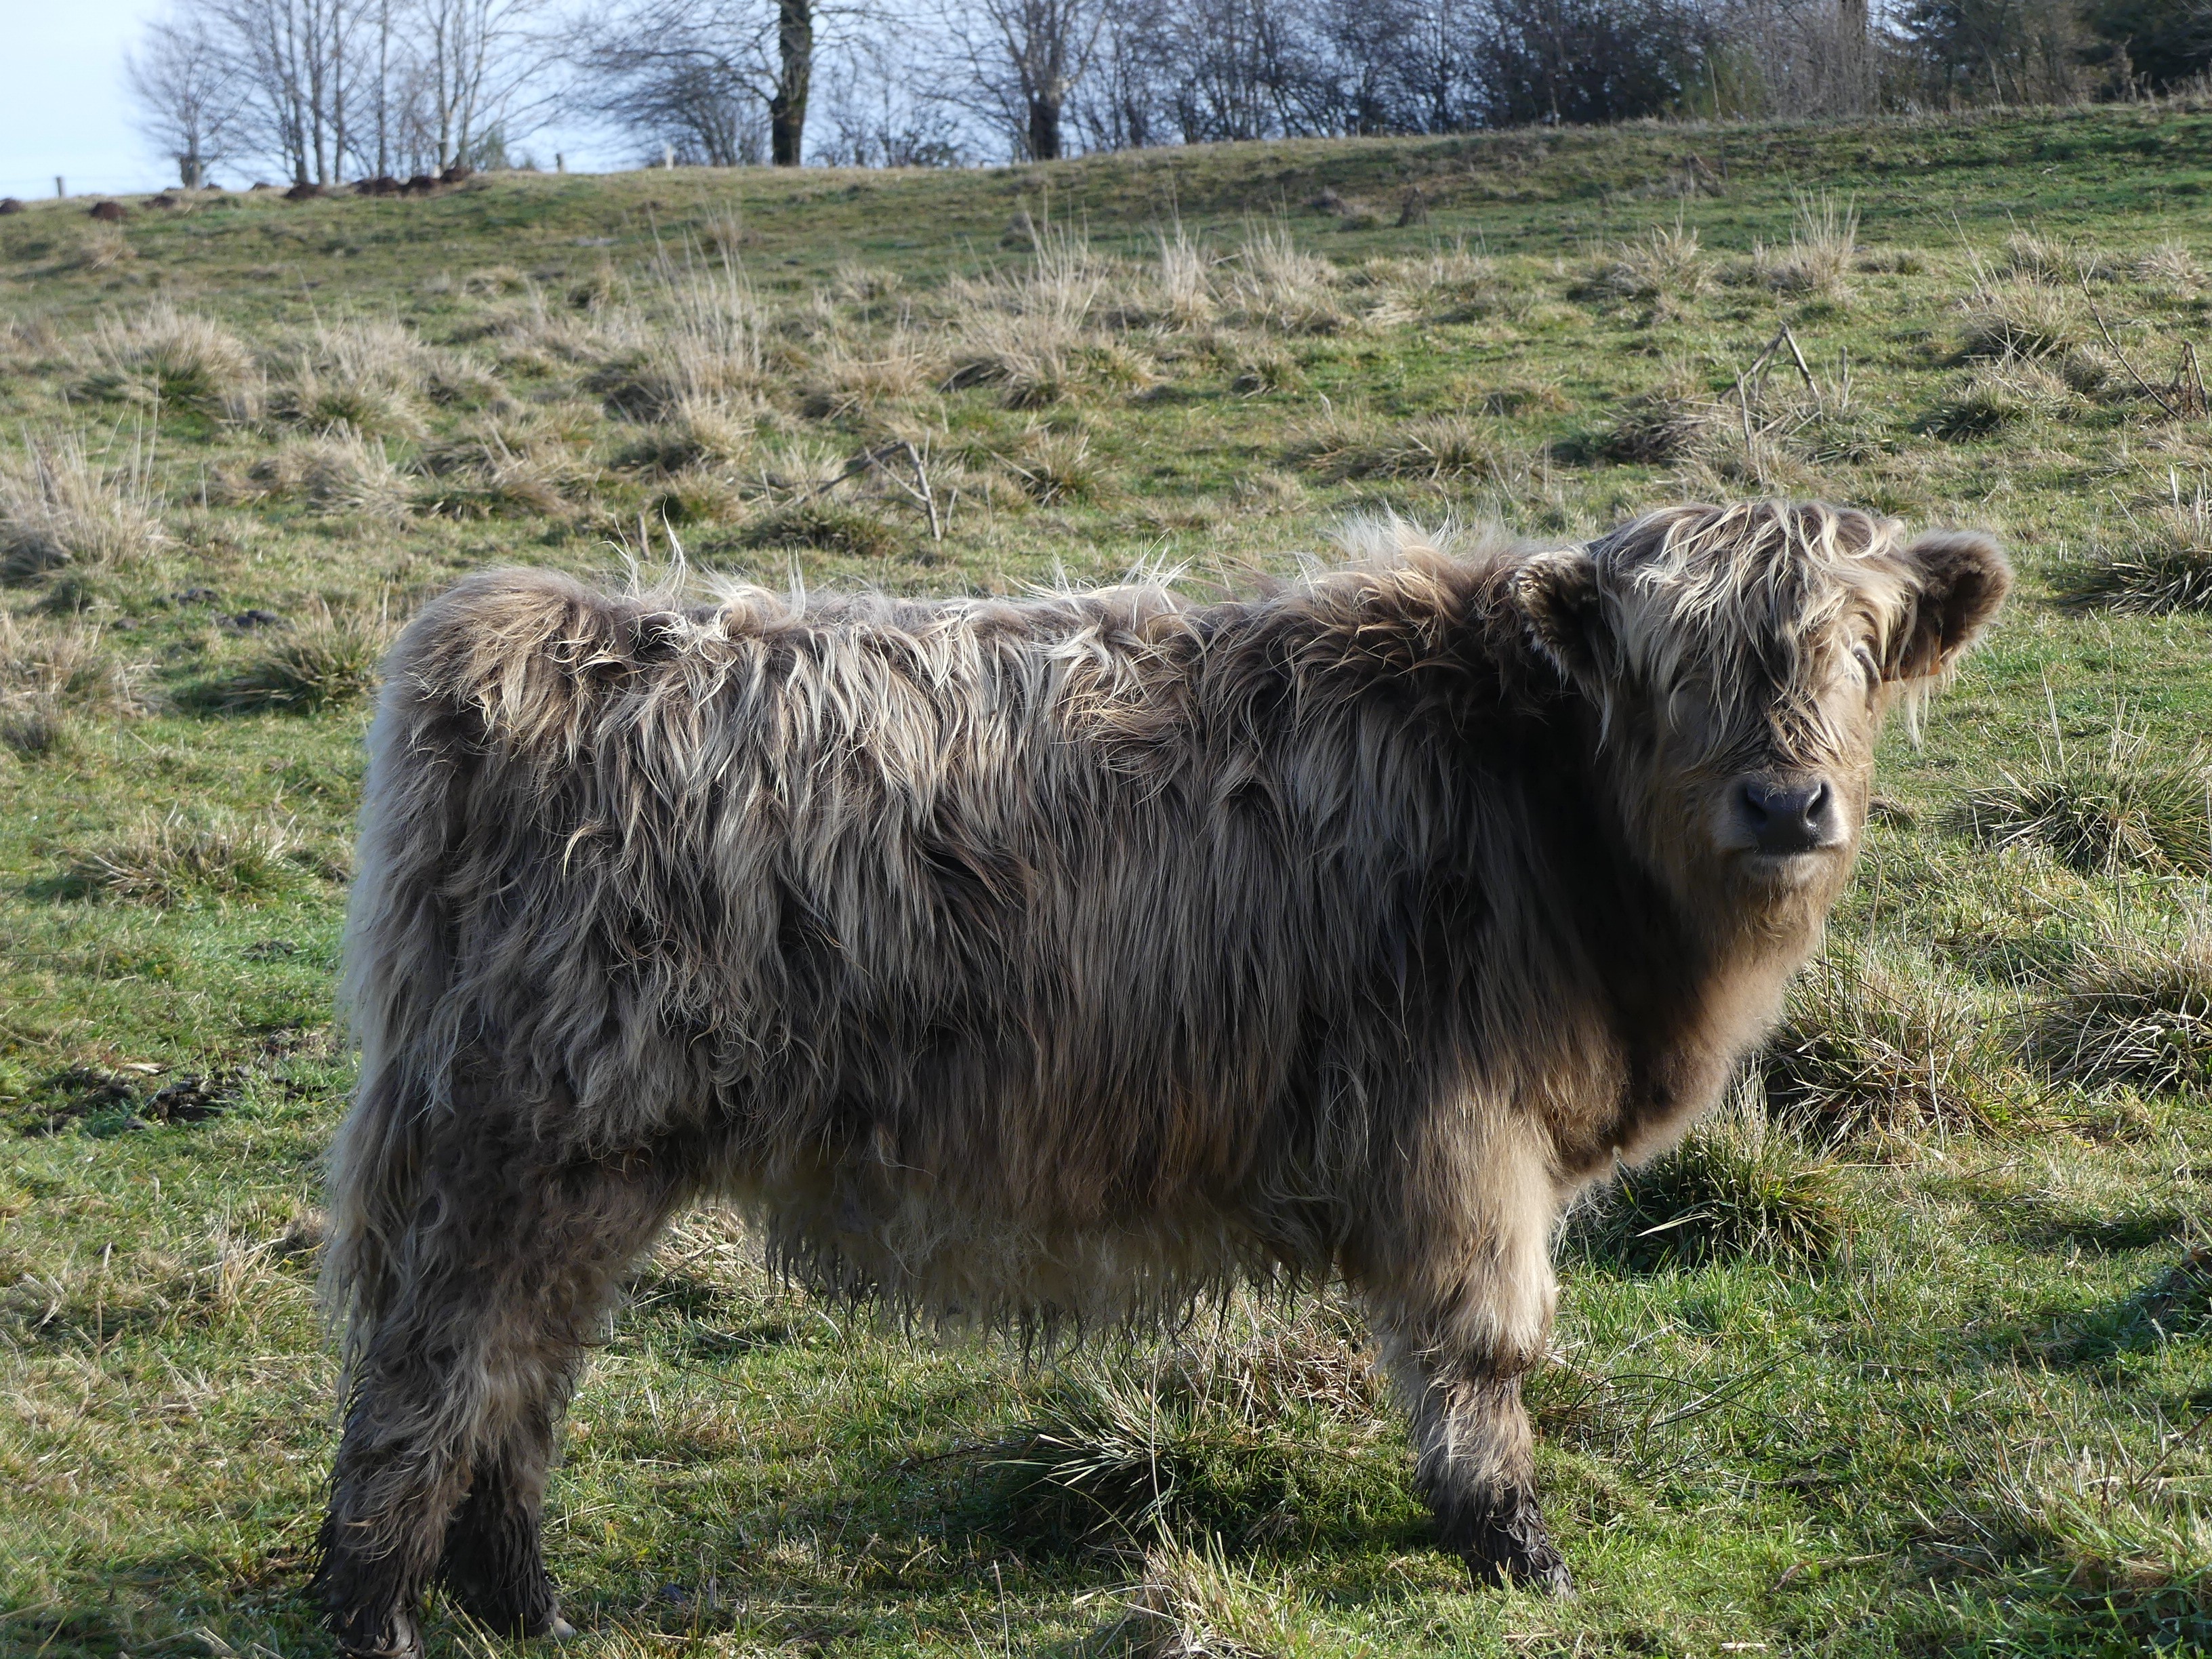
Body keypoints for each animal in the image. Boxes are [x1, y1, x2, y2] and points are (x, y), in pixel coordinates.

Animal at [323, 499, 2008, 1654]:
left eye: (1857, 651)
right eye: (1673, 667)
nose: (1787, 804)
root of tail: (557, 641)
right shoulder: (1464, 1139)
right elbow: (1485, 1346)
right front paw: (1512, 1545)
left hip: (587, 1158)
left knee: (527, 1368)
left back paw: (519, 1601)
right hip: (535, 1141)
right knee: (439, 1364)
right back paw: (381, 1609)